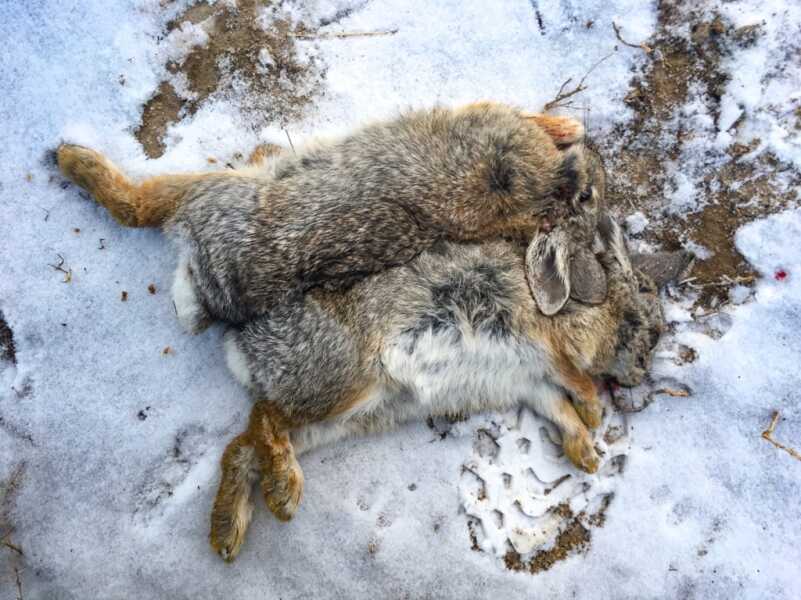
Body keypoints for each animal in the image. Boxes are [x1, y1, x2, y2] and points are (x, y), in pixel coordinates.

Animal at [56, 103, 602, 329]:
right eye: (591, 194)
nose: (586, 161)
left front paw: (564, 125)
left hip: (215, 193)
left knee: (139, 204)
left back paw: (70, 158)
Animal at [208, 213, 693, 561]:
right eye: (651, 332)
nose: (638, 377)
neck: (598, 310)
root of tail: (242, 346)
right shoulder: (546, 343)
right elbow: (573, 380)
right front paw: (594, 415)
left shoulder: (531, 382)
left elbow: (558, 409)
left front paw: (585, 455)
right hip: (343, 383)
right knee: (264, 417)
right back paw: (284, 496)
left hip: (350, 416)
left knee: (242, 446)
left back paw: (227, 532)